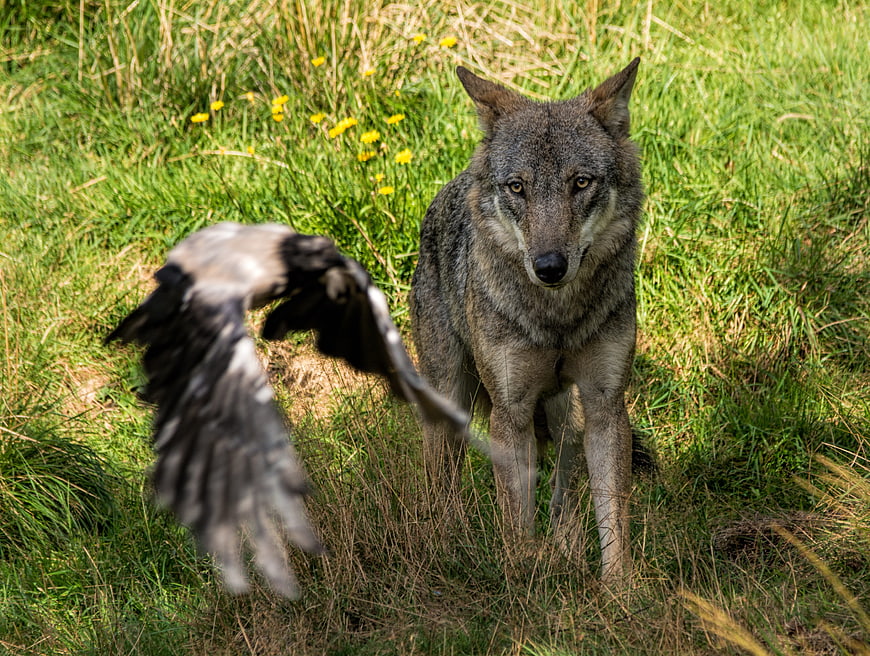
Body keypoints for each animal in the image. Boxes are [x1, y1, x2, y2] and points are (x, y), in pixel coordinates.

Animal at [409, 59, 643, 582]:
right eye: (518, 187)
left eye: (581, 183)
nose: (549, 266)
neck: (557, 319)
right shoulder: (509, 410)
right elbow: (515, 516)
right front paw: (521, 578)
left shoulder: (605, 406)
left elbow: (612, 515)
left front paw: (622, 590)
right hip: (448, 399)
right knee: (441, 484)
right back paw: (445, 545)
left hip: (567, 416)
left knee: (563, 495)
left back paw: (566, 551)